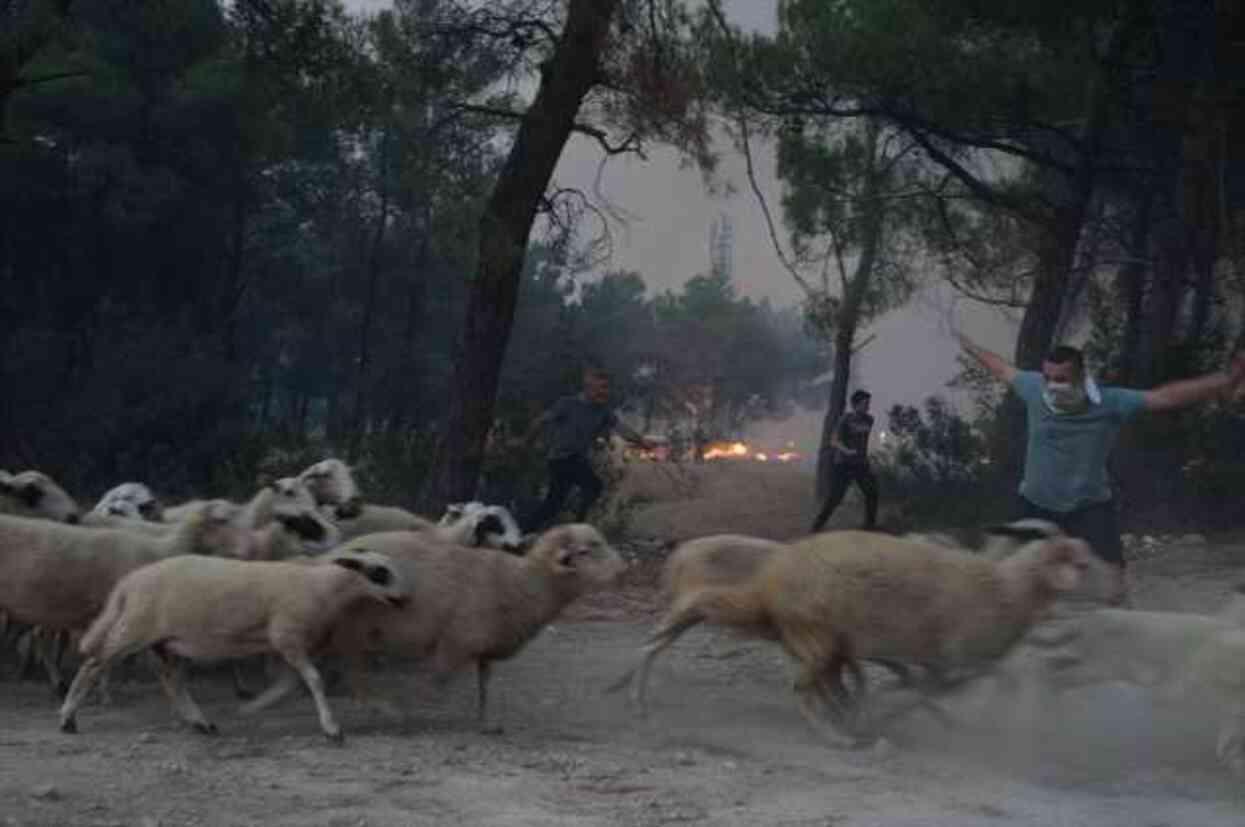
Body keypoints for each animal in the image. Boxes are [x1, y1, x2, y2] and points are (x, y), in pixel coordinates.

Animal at [58, 548, 408, 742]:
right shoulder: (287, 636)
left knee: (172, 681)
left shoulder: (288, 644)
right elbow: (314, 680)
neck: (323, 588)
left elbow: (292, 683)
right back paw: (67, 719)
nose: (405, 599)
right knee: (93, 665)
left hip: (165, 641)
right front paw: (333, 730)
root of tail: (128, 583)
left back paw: (201, 723)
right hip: (134, 629)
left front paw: (255, 706)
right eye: (380, 572)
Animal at [301, 525, 622, 732]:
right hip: (355, 630)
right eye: (587, 549)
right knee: (349, 676)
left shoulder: (484, 648)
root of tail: (324, 558)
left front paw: (486, 723)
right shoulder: (455, 642)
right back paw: (375, 711)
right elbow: (437, 682)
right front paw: (416, 714)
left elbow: (484, 684)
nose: (624, 568)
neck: (526, 582)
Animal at [607, 530, 1095, 747]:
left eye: (1083, 562)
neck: (1006, 587)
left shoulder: (859, 649)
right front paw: (873, 718)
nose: (1096, 588)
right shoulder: (938, 653)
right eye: (1070, 562)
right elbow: (912, 687)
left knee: (656, 642)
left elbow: (878, 683)